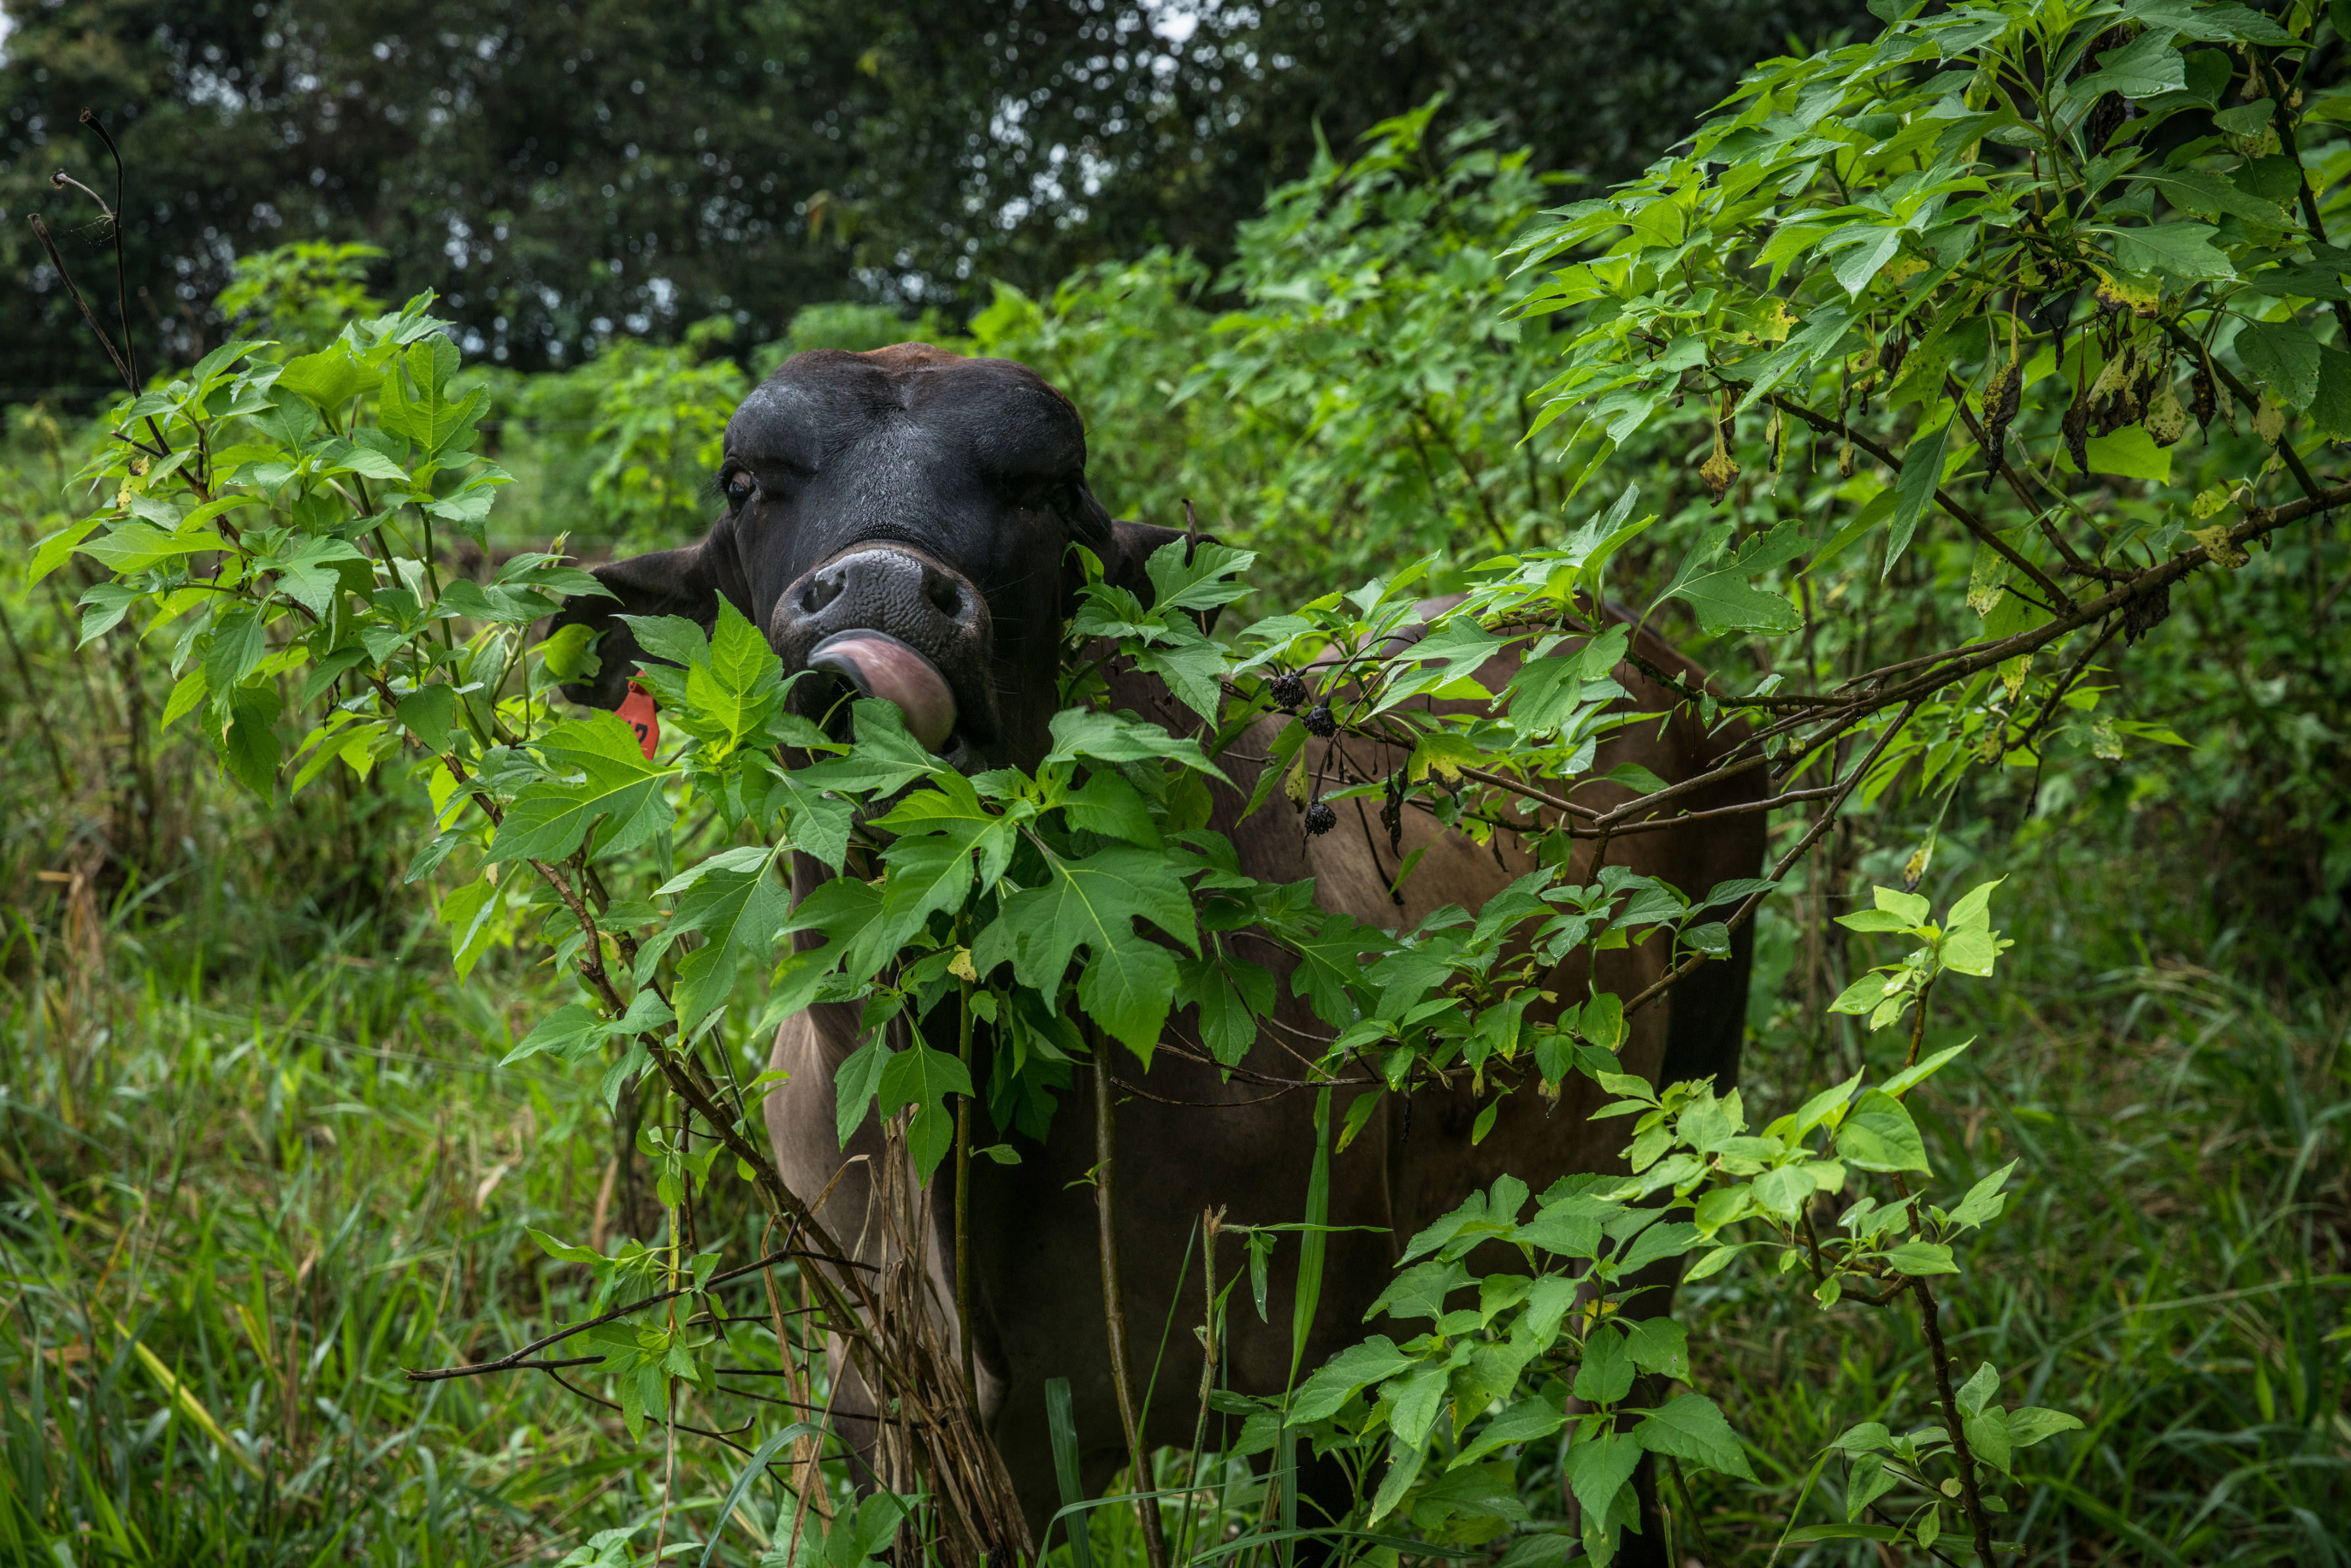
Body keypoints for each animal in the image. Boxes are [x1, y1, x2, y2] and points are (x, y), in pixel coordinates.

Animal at [550, 343, 1766, 1563]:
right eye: (747, 484)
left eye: (1047, 491)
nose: (883, 595)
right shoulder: (896, 1430)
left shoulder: (1313, 1395)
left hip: (1668, 1152)